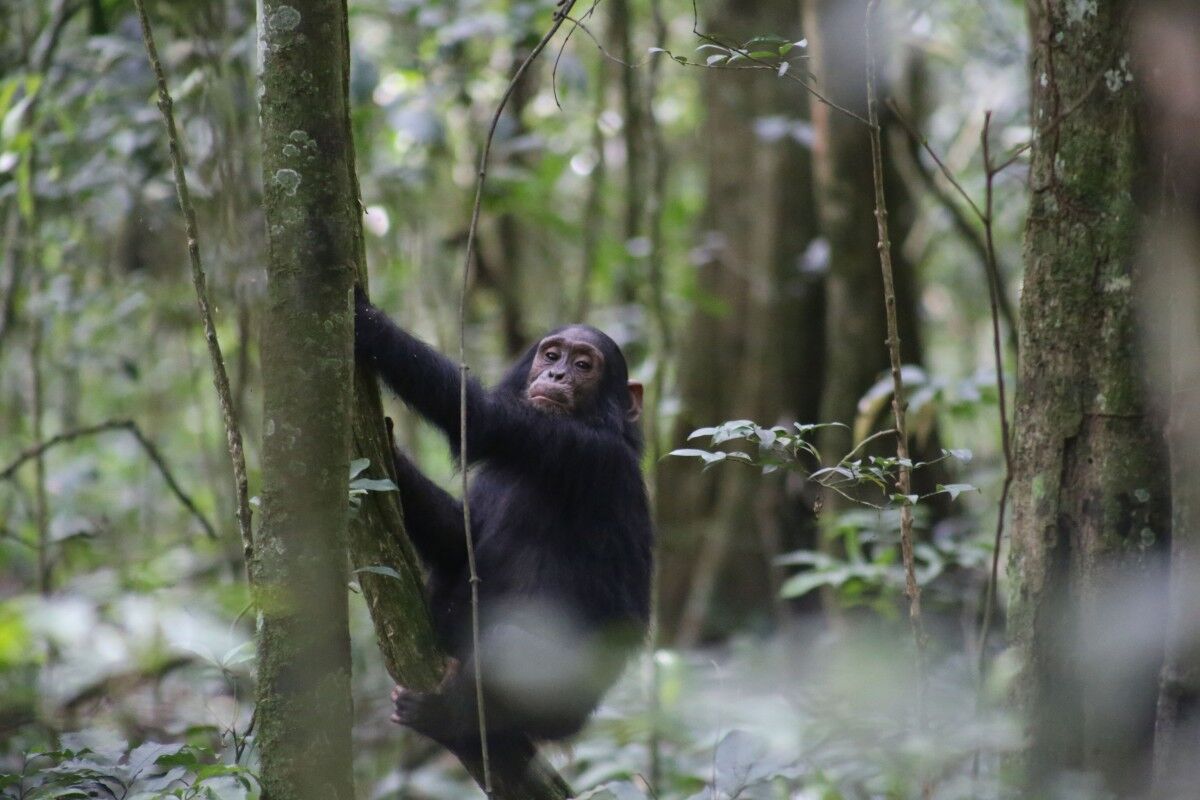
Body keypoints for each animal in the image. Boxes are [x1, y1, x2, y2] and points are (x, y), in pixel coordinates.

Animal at [352, 287, 657, 758]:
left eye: (583, 365)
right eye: (551, 354)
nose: (556, 374)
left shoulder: (577, 449)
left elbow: (480, 419)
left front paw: (365, 321)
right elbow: (459, 541)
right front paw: (388, 456)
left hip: (561, 705)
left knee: (509, 645)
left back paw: (448, 717)